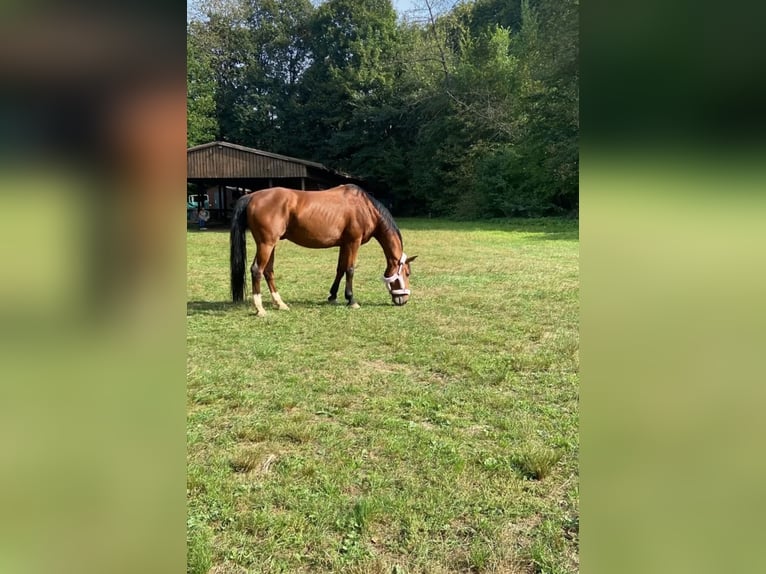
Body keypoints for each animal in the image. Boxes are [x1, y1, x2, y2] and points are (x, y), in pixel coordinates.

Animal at [230, 184, 416, 318]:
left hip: (271, 245)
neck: (365, 208)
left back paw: (280, 304)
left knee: (268, 271)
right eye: (407, 273)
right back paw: (260, 309)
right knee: (257, 270)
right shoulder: (353, 242)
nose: (404, 300)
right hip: (266, 244)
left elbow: (340, 269)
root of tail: (252, 196)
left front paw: (333, 296)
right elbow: (350, 270)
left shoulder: (344, 244)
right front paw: (351, 300)